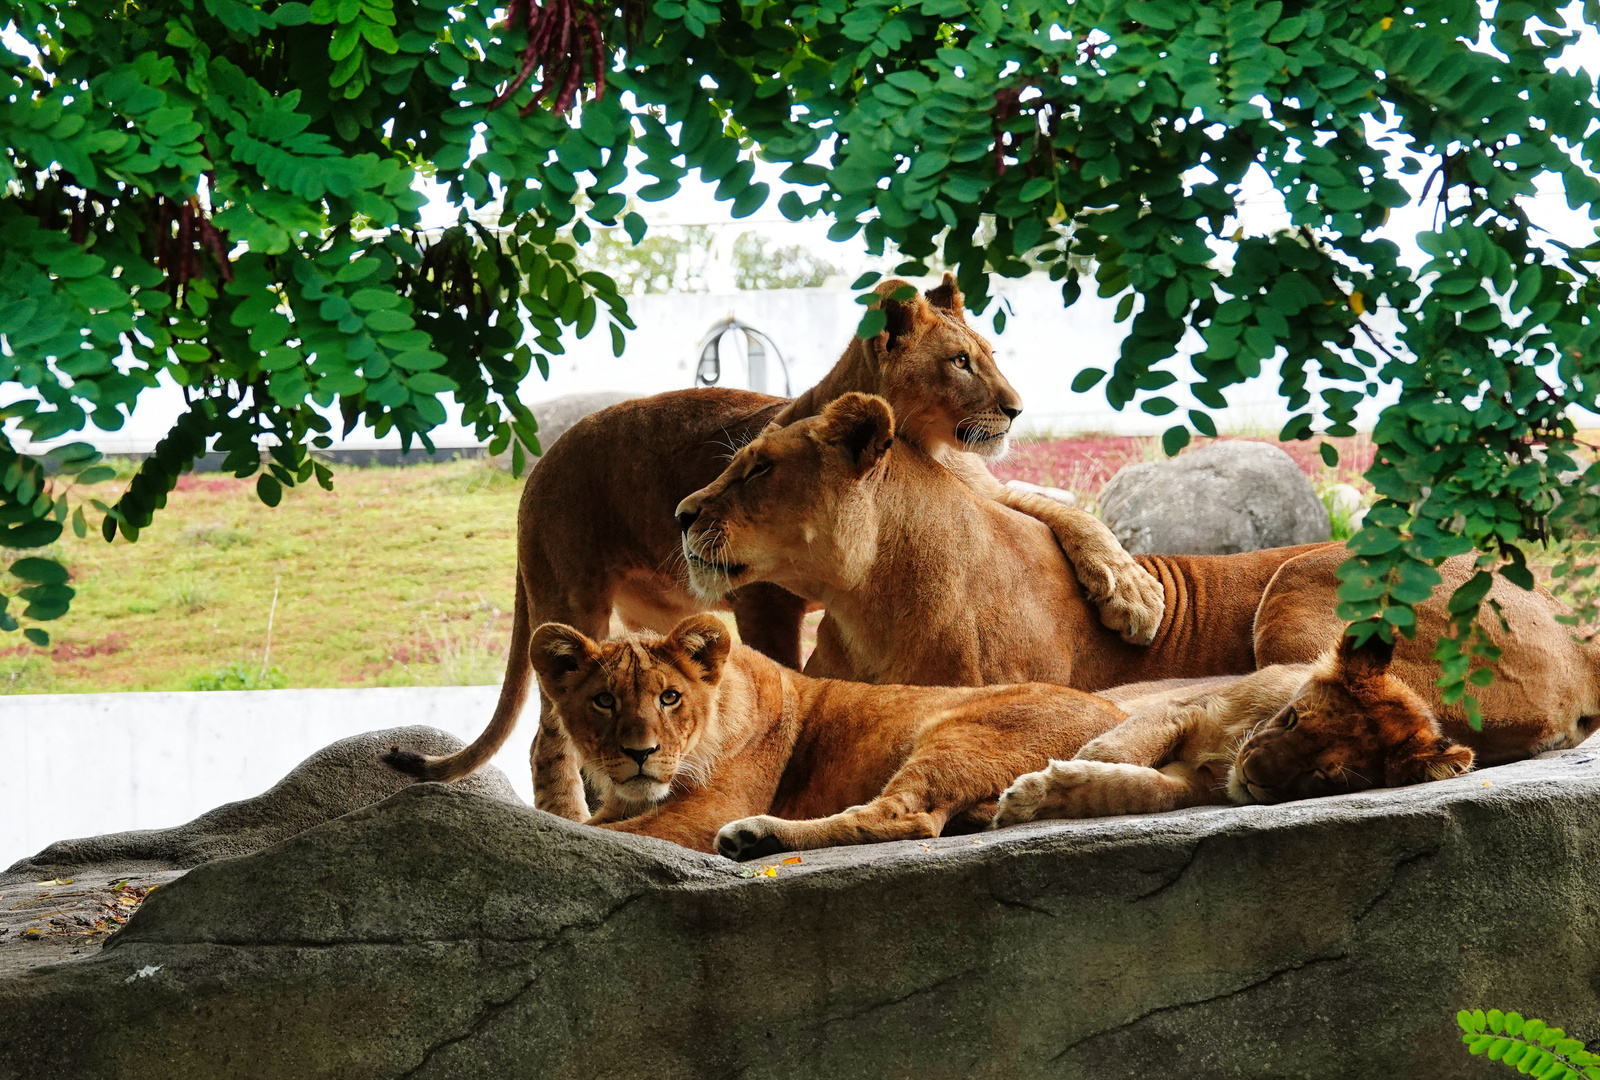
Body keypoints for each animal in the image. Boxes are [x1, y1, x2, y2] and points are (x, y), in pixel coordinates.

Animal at [379, 617, 1126, 851]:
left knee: (907, 817)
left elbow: (611, 832)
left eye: (669, 697)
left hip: (958, 732)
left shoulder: (701, 810)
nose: (641, 754)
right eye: (602, 702)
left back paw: (757, 837)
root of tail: (1119, 721)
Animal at [428, 272, 1164, 819]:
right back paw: (568, 817)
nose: (1015, 409)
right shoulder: (764, 598)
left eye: (990, 355)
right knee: (549, 733)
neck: (922, 451)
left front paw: (1134, 595)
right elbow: (783, 674)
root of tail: (539, 464)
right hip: (572, 597)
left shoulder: (986, 486)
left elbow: (1062, 510)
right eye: (960, 362)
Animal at [985, 633, 1484, 825]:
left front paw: (1038, 796)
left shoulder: (1190, 783)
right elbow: (1112, 753)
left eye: (1324, 775)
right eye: (1293, 718)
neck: (1228, 749)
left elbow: (1142, 789)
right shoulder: (1181, 707)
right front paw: (1034, 793)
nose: (1249, 775)